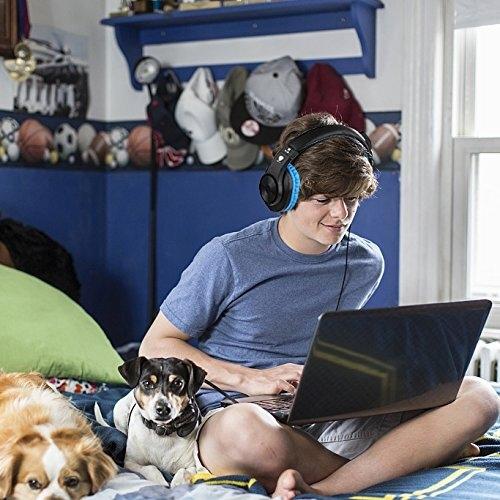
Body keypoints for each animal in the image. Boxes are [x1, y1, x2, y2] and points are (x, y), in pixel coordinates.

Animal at [112, 356, 207, 485]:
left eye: (178, 383)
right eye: (147, 383)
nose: (163, 409)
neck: (162, 431)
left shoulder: (191, 465)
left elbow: (183, 471)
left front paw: (178, 483)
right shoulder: (131, 463)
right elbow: (151, 468)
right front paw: (161, 482)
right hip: (119, 412)